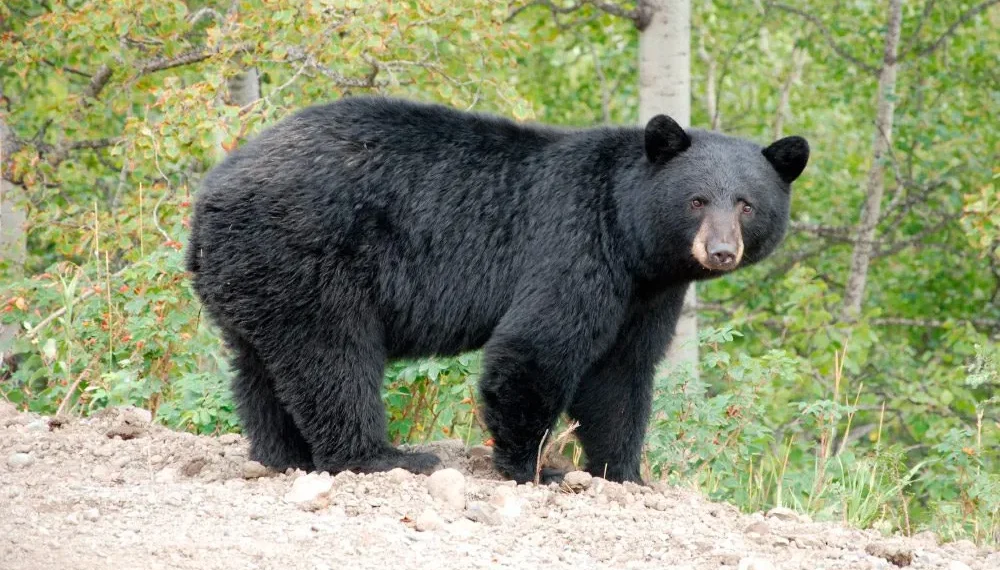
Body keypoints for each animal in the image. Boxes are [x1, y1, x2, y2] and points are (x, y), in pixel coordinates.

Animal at [188, 95, 808, 482]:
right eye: (697, 200)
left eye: (747, 204)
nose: (721, 251)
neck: (630, 235)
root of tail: (210, 194)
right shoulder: (574, 243)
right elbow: (536, 347)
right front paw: (535, 468)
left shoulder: (647, 292)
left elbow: (621, 373)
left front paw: (623, 472)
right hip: (308, 256)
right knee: (332, 358)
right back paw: (381, 457)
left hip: (253, 274)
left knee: (260, 368)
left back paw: (283, 454)